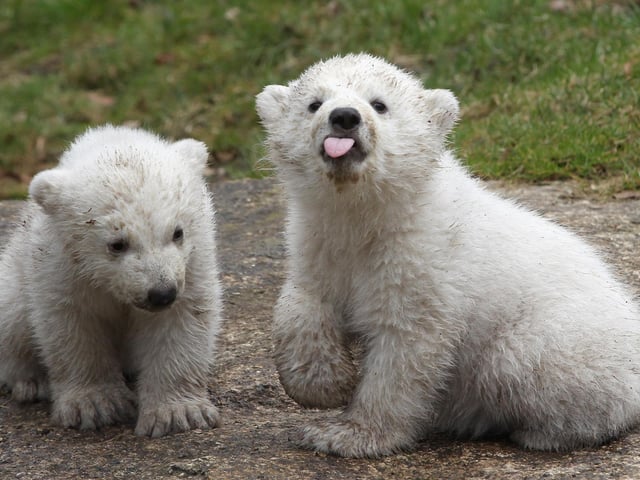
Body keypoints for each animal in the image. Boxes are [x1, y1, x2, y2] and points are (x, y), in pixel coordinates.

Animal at [0, 125, 223, 437]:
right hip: (13, 278)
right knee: (14, 321)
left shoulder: (193, 261)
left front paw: (179, 414)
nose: (161, 293)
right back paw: (31, 383)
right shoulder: (62, 267)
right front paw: (95, 405)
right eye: (117, 244)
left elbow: (182, 320)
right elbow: (73, 327)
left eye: (177, 232)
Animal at [256, 53, 640, 458]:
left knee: (517, 363)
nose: (344, 117)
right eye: (314, 103)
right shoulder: (316, 239)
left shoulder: (423, 262)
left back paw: (545, 432)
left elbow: (406, 348)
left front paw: (348, 434)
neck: (371, 215)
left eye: (379, 104)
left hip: (564, 338)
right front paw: (323, 385)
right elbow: (305, 299)